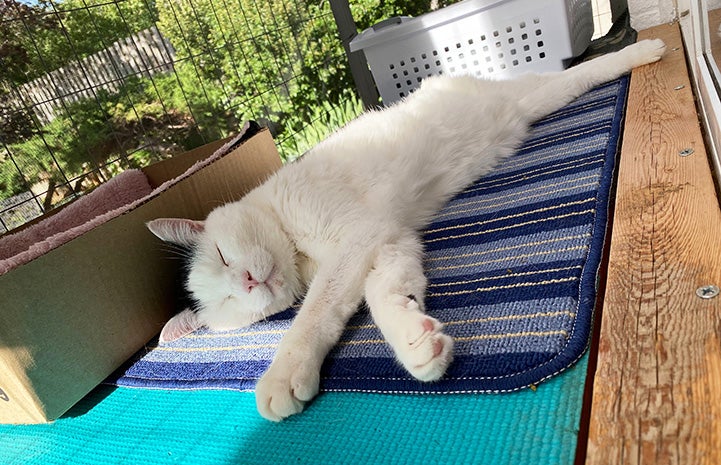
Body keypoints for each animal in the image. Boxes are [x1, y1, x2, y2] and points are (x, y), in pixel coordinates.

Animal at [146, 40, 664, 422]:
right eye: (231, 301)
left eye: (223, 255)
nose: (249, 281)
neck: (297, 252)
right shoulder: (390, 242)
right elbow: (384, 293)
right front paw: (416, 341)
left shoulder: (358, 237)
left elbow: (315, 312)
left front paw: (284, 372)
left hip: (534, 95)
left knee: (579, 73)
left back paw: (645, 50)